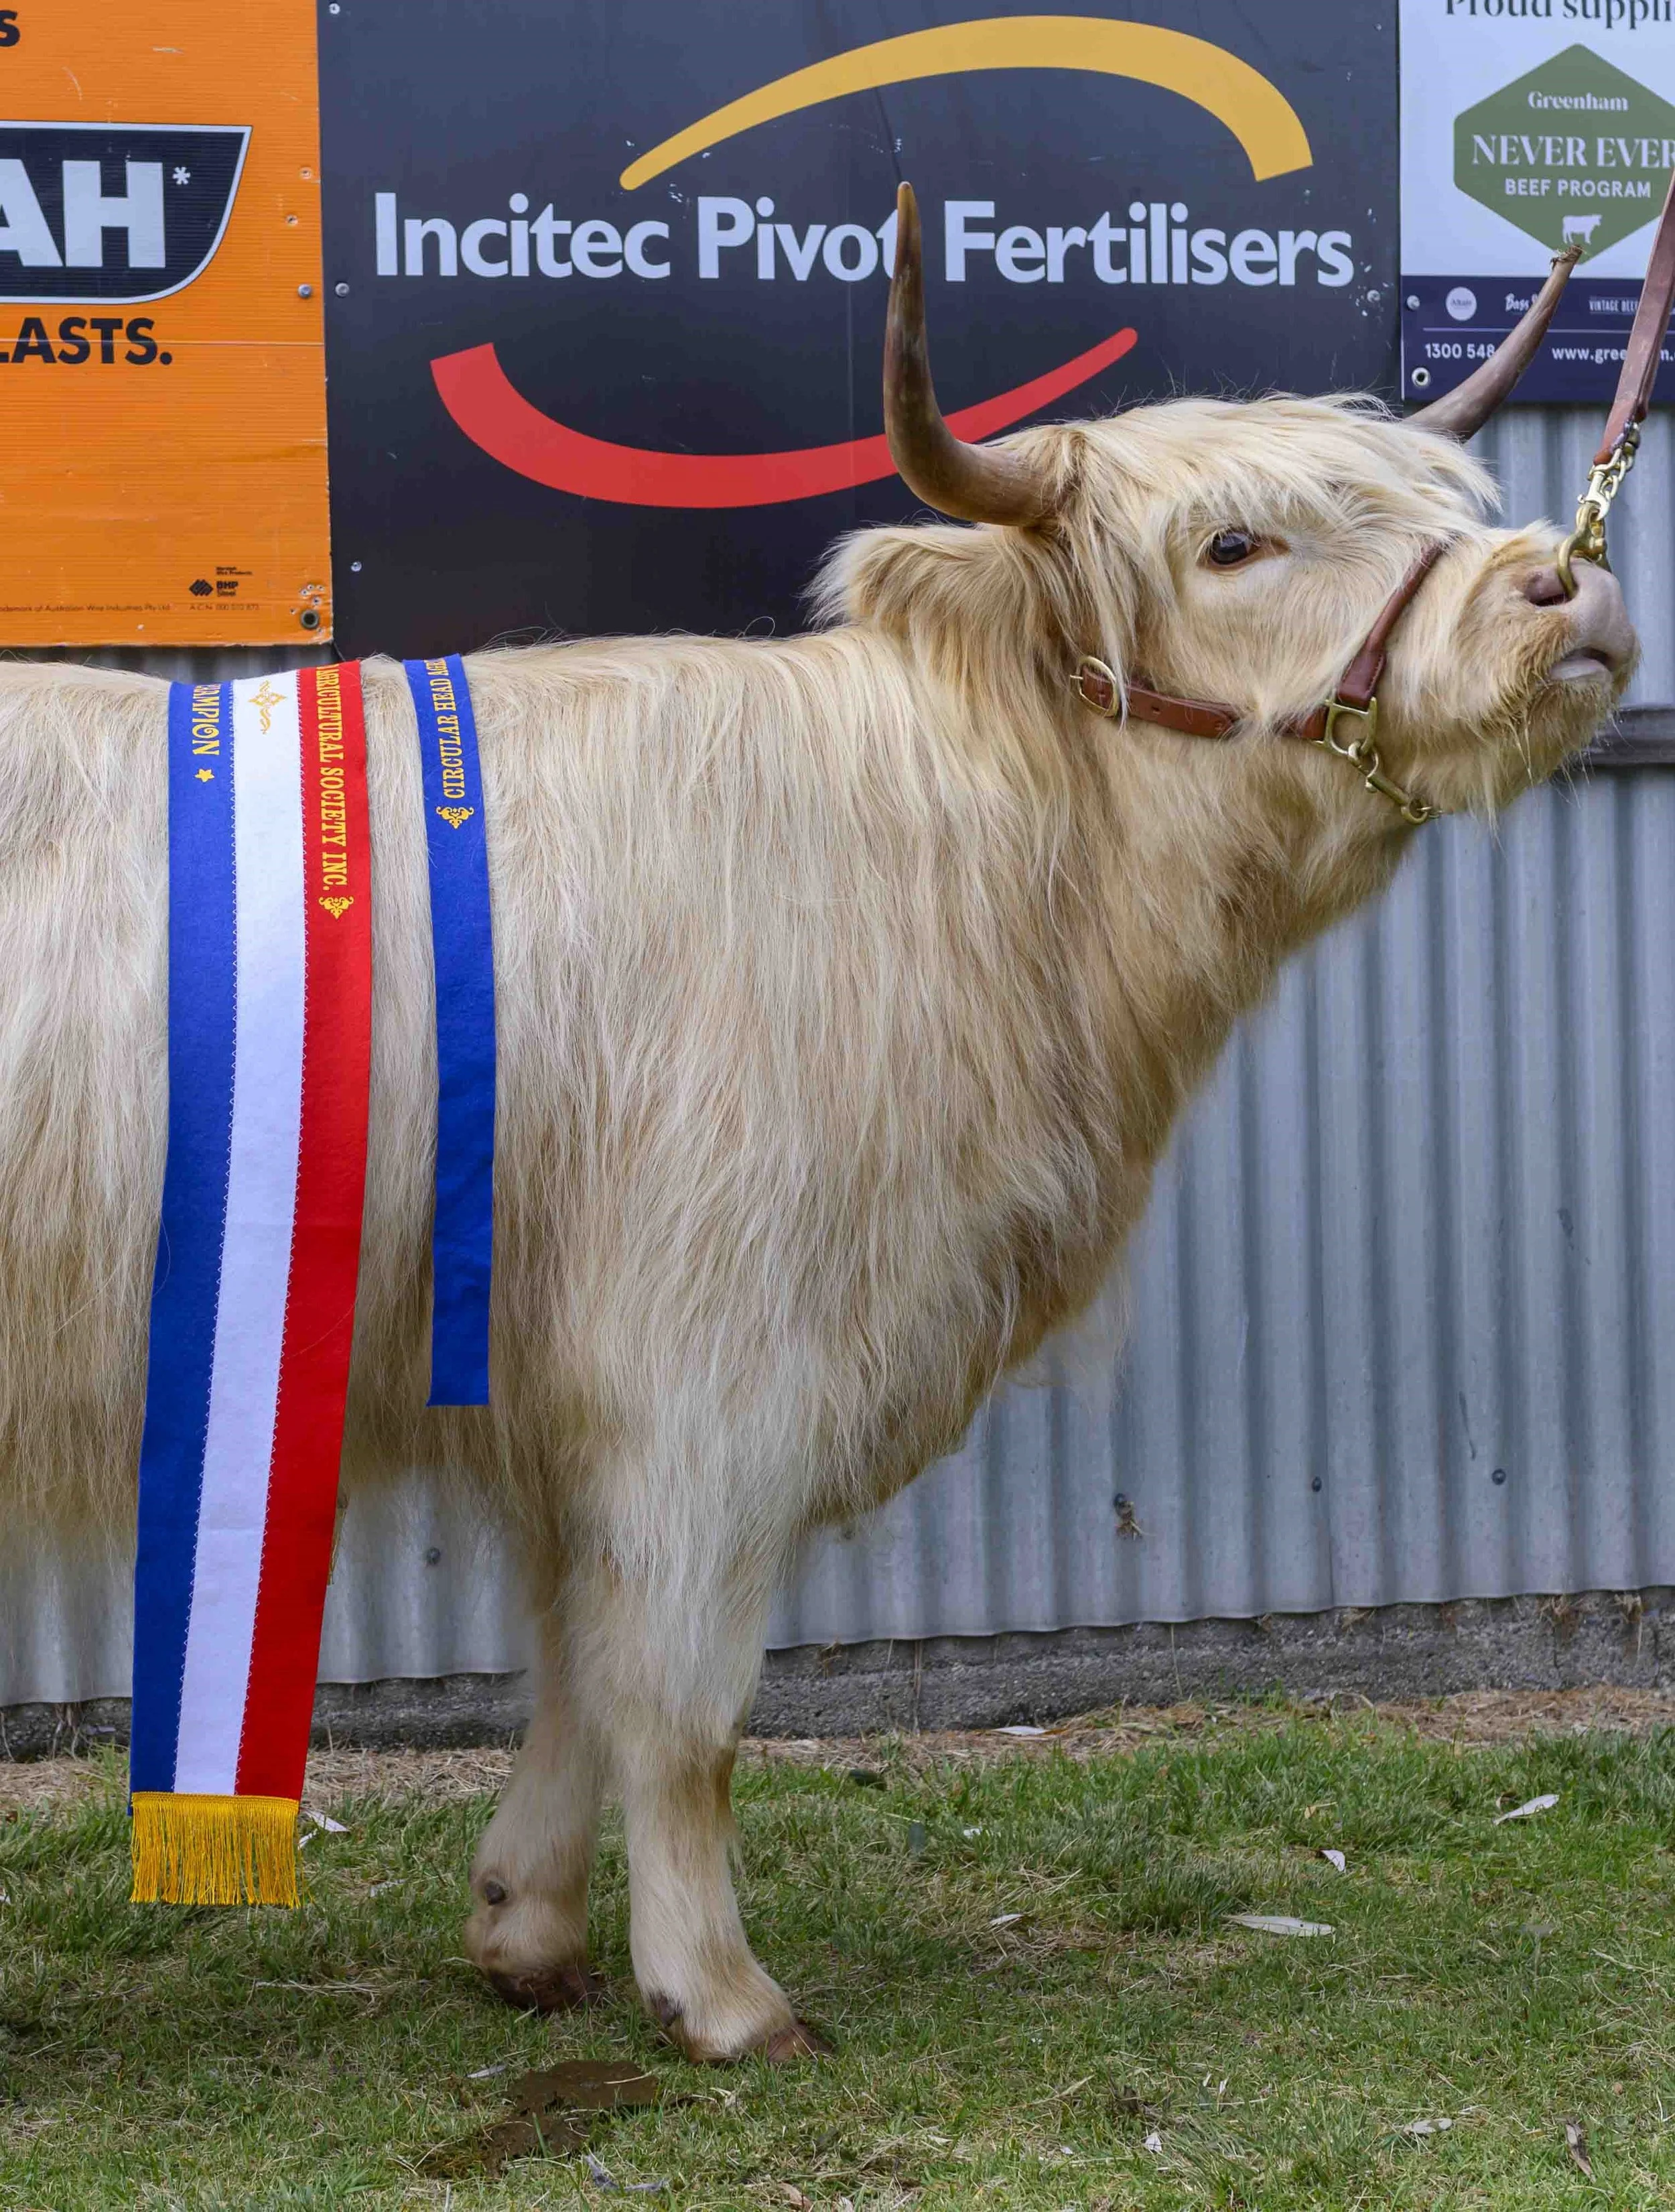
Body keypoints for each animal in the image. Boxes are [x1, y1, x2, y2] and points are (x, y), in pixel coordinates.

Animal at [0, 189, 1636, 2059]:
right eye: (1233, 542)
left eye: (1444, 508)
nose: (1566, 581)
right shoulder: (703, 1364)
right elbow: (682, 1702)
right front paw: (722, 1994)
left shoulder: (577, 1382)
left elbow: (581, 1664)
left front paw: (528, 1925)